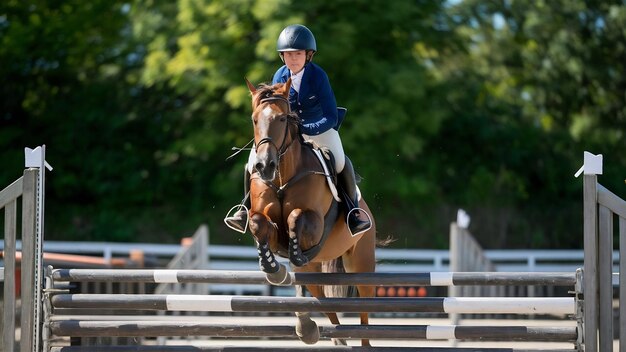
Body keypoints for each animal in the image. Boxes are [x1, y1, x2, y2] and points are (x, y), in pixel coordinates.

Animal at [244, 78, 376, 346]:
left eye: (283, 118)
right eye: (254, 119)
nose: (264, 166)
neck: (282, 175)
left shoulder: (315, 223)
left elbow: (296, 217)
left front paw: (294, 253)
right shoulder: (270, 226)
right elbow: (258, 223)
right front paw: (272, 268)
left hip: (361, 264)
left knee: (364, 308)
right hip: (312, 271)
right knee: (322, 302)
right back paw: (314, 331)